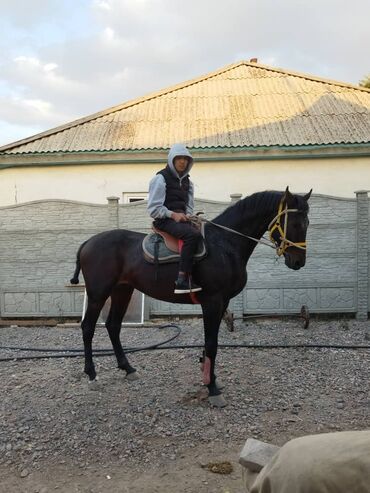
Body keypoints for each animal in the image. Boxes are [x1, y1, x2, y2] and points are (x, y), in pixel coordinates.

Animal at [70, 186, 312, 406]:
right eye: (295, 223)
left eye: (307, 223)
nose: (298, 262)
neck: (225, 243)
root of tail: (87, 243)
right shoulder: (212, 302)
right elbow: (212, 343)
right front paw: (212, 389)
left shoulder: (222, 302)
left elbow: (210, 341)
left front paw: (209, 377)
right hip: (98, 293)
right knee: (88, 327)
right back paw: (92, 375)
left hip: (122, 290)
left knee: (113, 326)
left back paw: (128, 368)